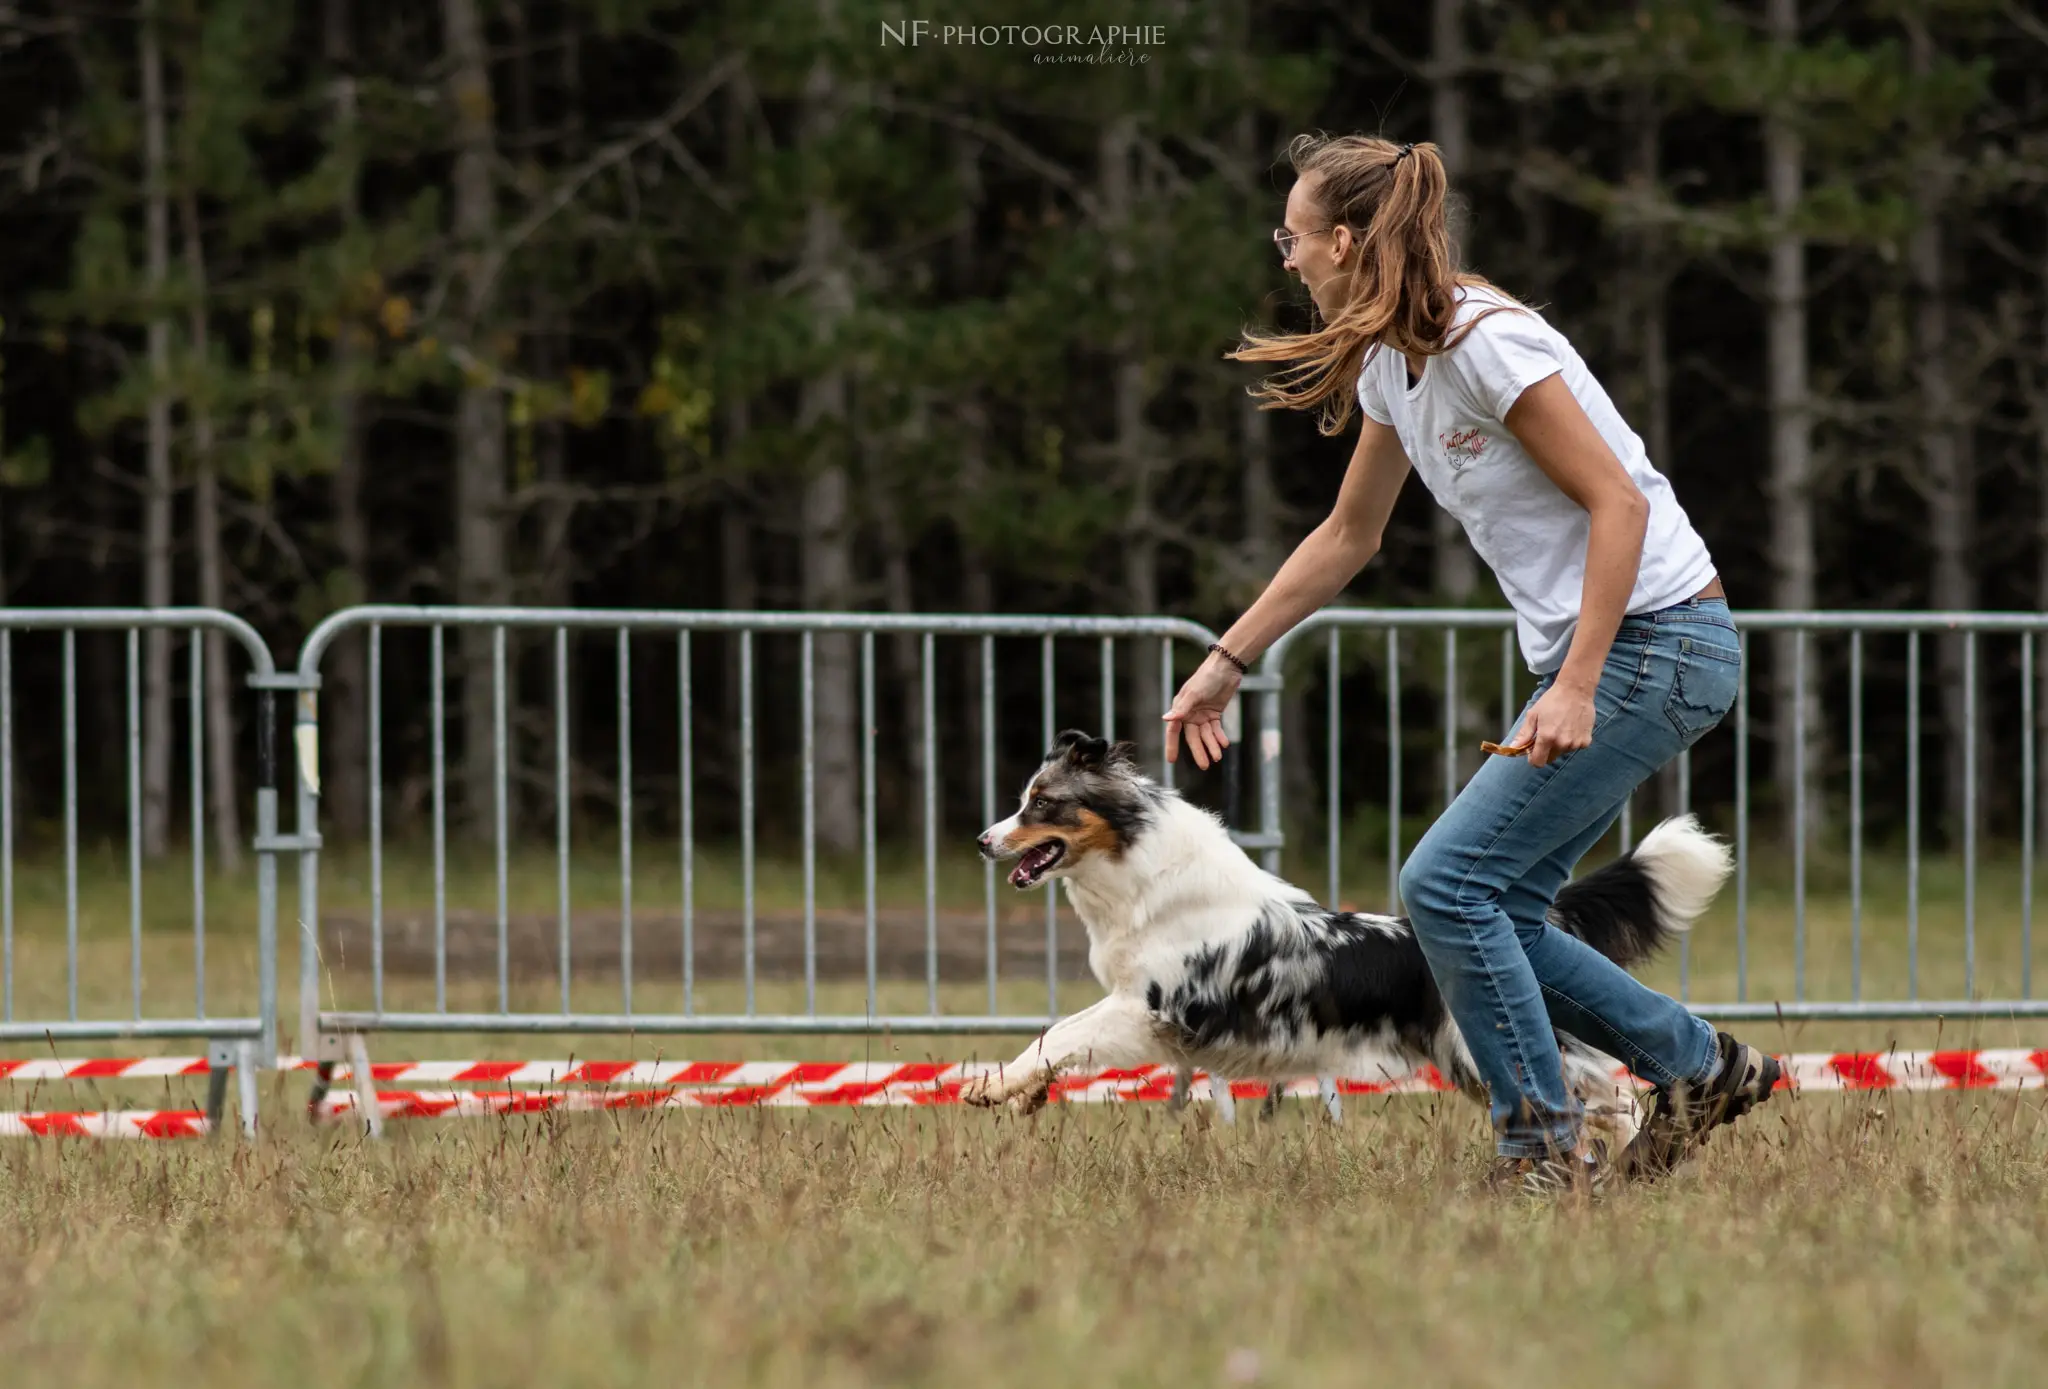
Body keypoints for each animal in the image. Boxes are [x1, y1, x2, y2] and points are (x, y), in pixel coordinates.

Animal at [966, 729, 1736, 1155]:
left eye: (1041, 803)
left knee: (1614, 1095)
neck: (1140, 873)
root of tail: (1528, 927)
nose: (982, 840)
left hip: (1482, 1050)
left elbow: (1061, 1032)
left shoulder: (1146, 1005)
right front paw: (1025, 1093)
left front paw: (990, 1084)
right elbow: (1061, 1040)